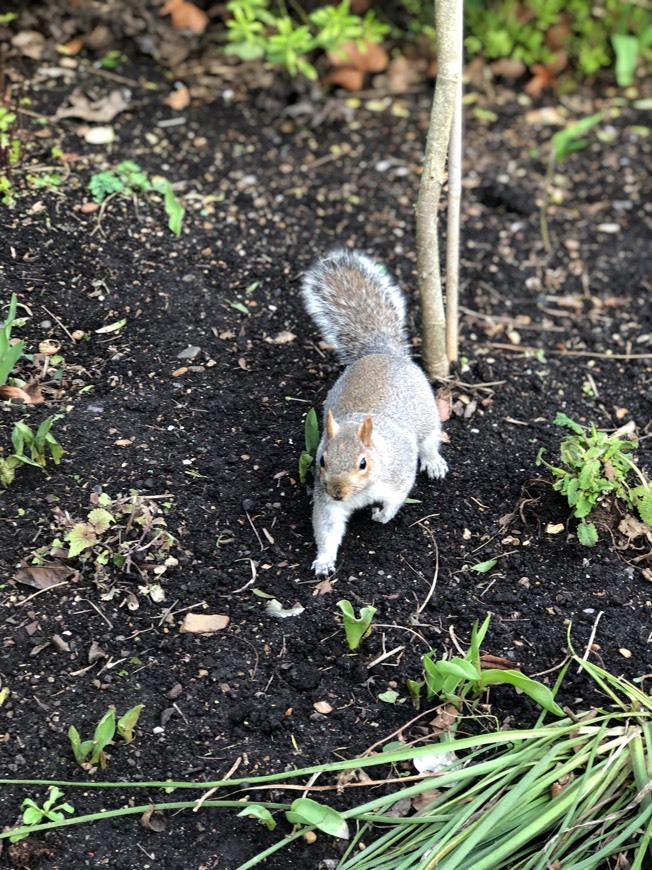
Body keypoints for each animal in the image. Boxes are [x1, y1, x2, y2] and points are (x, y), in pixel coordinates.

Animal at [302, 249, 448, 576]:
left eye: (363, 463)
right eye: (321, 460)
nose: (338, 492)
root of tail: (382, 352)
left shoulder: (397, 474)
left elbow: (398, 497)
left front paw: (382, 515)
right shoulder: (326, 501)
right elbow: (327, 528)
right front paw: (324, 560)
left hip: (428, 419)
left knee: (429, 442)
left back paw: (433, 462)